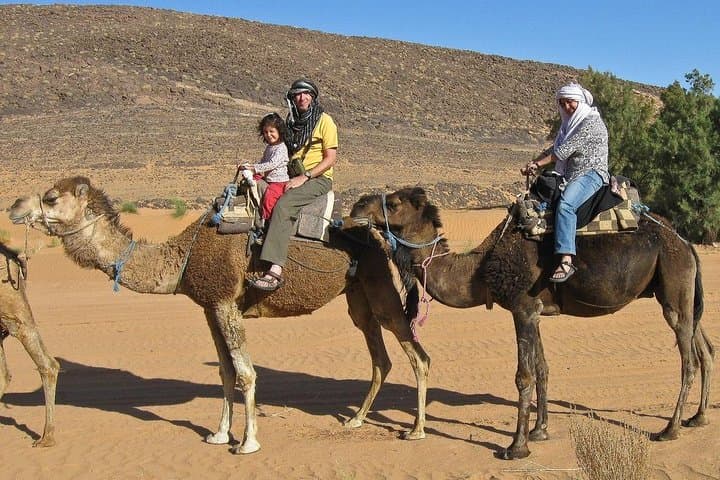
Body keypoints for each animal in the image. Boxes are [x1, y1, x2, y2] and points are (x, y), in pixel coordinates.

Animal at [9, 176, 431, 454]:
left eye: (50, 198)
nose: (14, 206)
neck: (184, 255)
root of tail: (377, 235)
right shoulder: (210, 307)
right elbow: (225, 372)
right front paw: (218, 434)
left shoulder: (226, 302)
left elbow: (246, 373)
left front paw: (248, 442)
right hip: (358, 296)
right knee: (380, 356)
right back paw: (356, 419)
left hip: (379, 285)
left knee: (416, 354)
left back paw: (416, 430)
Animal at [350, 186, 715, 459]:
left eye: (393, 203)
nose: (356, 205)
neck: (480, 269)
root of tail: (685, 242)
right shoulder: (535, 311)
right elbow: (542, 368)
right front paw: (540, 431)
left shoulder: (522, 307)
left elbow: (523, 376)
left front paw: (516, 447)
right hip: (679, 291)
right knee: (705, 347)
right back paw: (698, 418)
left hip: (673, 282)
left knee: (688, 359)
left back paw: (669, 429)